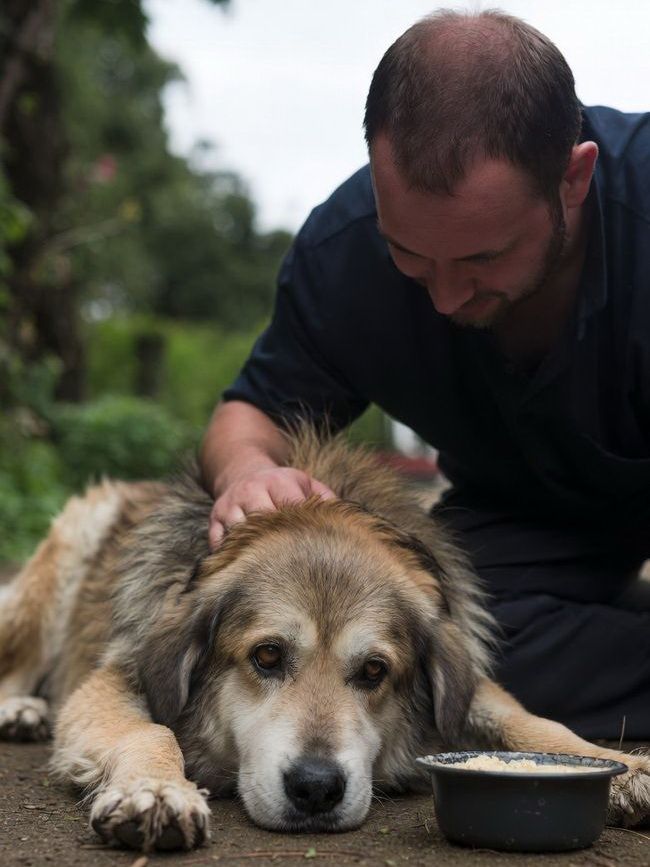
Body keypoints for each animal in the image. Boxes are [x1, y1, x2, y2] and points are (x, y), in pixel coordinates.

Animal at [1, 429, 649, 851]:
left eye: (374, 672)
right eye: (266, 655)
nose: (316, 790)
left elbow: (526, 719)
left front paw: (622, 766)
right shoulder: (117, 676)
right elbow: (150, 730)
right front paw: (156, 791)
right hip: (62, 558)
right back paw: (19, 710)